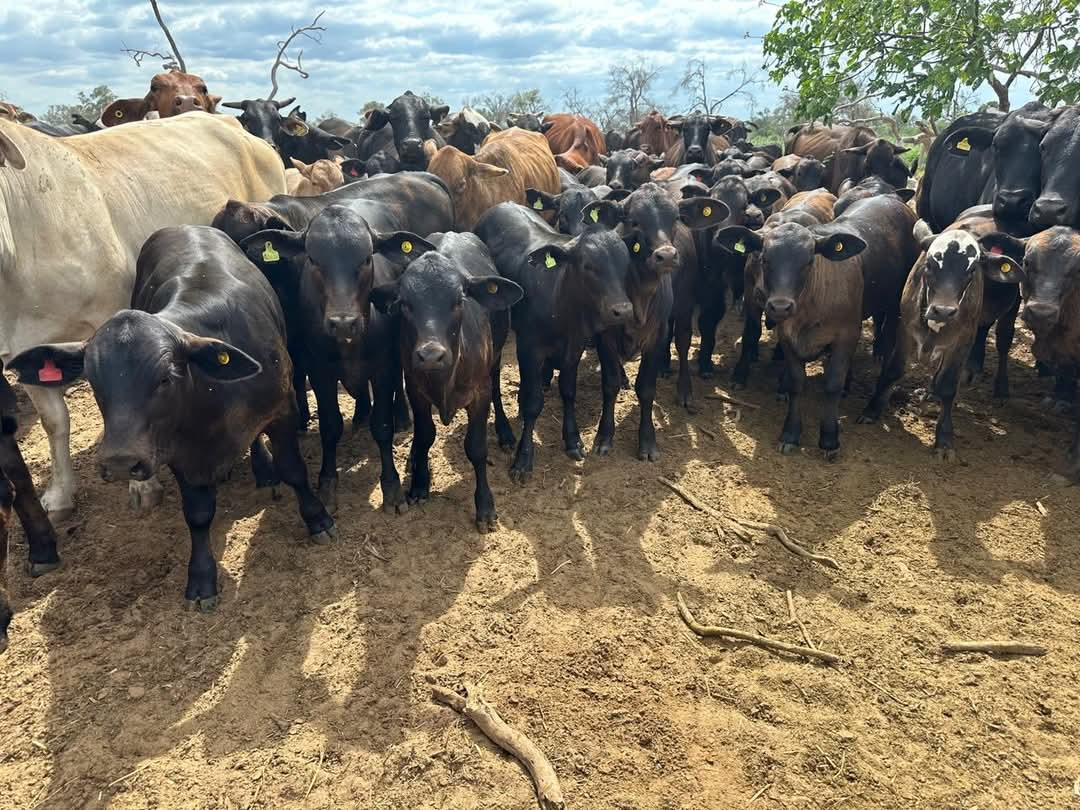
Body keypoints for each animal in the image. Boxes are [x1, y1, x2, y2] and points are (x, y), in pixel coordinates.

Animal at [8, 226, 334, 609]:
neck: (210, 397)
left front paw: (318, 519)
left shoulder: (282, 409)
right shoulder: (176, 452)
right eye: (93, 381)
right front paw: (202, 578)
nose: (120, 462)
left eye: (165, 378)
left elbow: (294, 470)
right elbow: (197, 513)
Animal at [371, 233, 522, 533]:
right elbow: (424, 435)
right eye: (405, 304)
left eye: (459, 301)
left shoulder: (479, 394)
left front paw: (485, 506)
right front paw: (419, 484)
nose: (431, 355)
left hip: (496, 359)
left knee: (498, 388)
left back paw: (505, 433)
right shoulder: (415, 390)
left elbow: (476, 448)